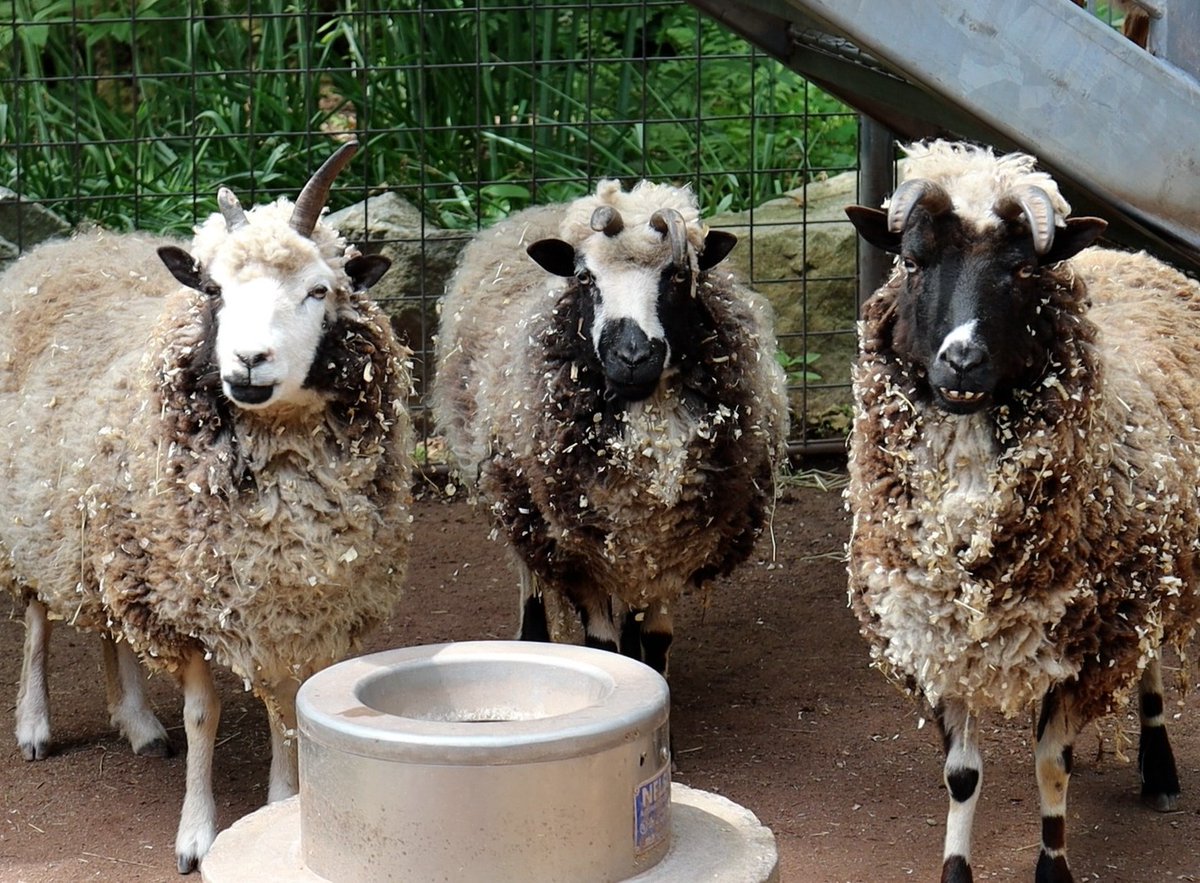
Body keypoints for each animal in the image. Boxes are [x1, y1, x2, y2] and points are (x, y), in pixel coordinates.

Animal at [0, 140, 413, 873]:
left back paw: (136, 719)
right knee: (40, 618)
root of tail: (66, 243)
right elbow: (203, 715)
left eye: (319, 290)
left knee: (108, 626)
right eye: (214, 289)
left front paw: (281, 803)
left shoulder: (299, 609)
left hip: (105, 537)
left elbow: (288, 711)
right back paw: (34, 722)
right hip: (38, 520)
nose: (250, 360)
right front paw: (196, 834)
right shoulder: (181, 599)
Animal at [432, 178, 788, 675]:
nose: (633, 357)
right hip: (511, 495)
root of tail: (536, 210)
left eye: (678, 276)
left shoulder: (671, 543)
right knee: (530, 576)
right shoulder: (576, 546)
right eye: (585, 278)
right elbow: (601, 645)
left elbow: (656, 636)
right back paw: (533, 635)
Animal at [843, 139, 1200, 883]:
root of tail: (1121, 254)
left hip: (1150, 571)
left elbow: (1049, 764)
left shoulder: (1093, 636)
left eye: (1023, 269)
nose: (961, 360)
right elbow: (961, 774)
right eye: (913, 261)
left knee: (1151, 661)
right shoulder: (935, 635)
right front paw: (955, 870)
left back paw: (1160, 768)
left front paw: (1053, 867)